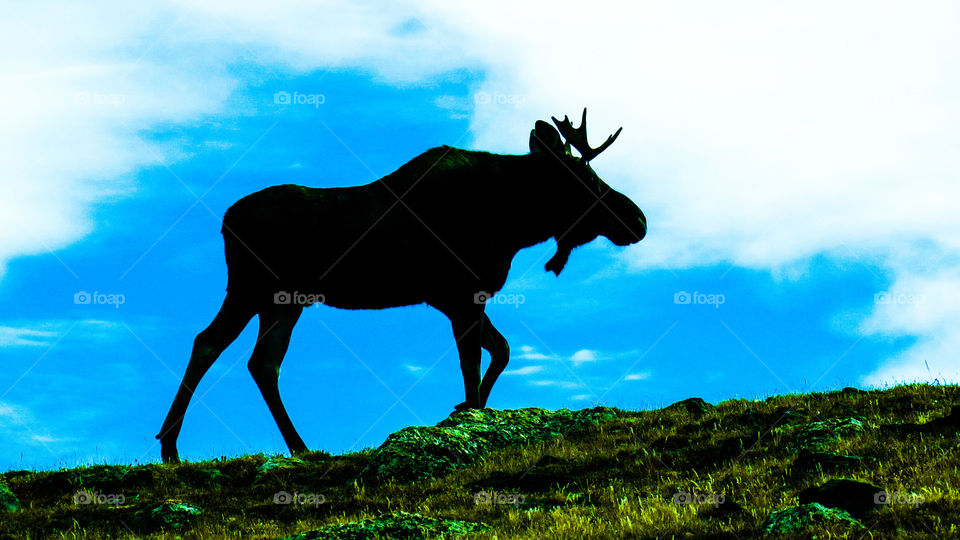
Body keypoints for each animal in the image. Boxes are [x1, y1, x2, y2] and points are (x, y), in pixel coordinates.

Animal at [156, 109, 646, 463]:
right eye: (586, 179)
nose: (638, 219)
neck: (515, 225)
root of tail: (225, 220)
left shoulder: (457, 299)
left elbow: (500, 351)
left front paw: (466, 410)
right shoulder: (461, 295)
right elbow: (473, 364)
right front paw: (468, 416)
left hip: (284, 301)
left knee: (261, 362)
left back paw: (297, 447)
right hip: (251, 287)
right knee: (209, 343)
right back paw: (171, 446)